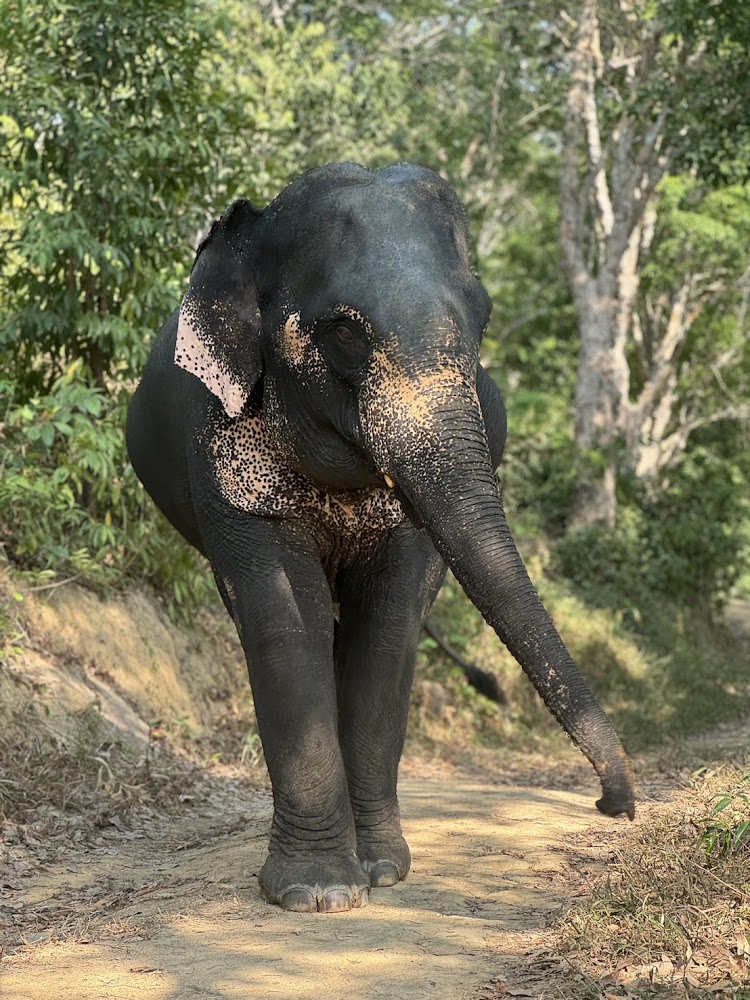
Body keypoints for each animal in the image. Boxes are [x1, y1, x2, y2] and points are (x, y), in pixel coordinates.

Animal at [126, 162, 635, 914]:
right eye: (344, 330)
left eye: (483, 317)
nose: (611, 806)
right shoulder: (217, 438)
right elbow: (283, 618)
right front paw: (318, 893)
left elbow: (389, 625)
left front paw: (382, 872)